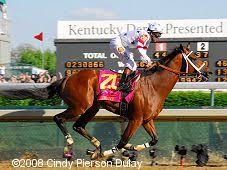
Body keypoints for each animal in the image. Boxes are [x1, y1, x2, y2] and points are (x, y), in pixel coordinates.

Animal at [0, 43, 211, 159]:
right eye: (194, 57)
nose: (207, 72)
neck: (153, 86)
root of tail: (65, 78)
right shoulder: (135, 119)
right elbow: (122, 141)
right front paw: (108, 153)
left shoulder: (147, 120)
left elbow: (153, 139)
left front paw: (131, 149)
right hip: (80, 105)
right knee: (59, 119)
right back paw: (73, 145)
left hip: (92, 107)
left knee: (78, 125)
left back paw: (95, 146)